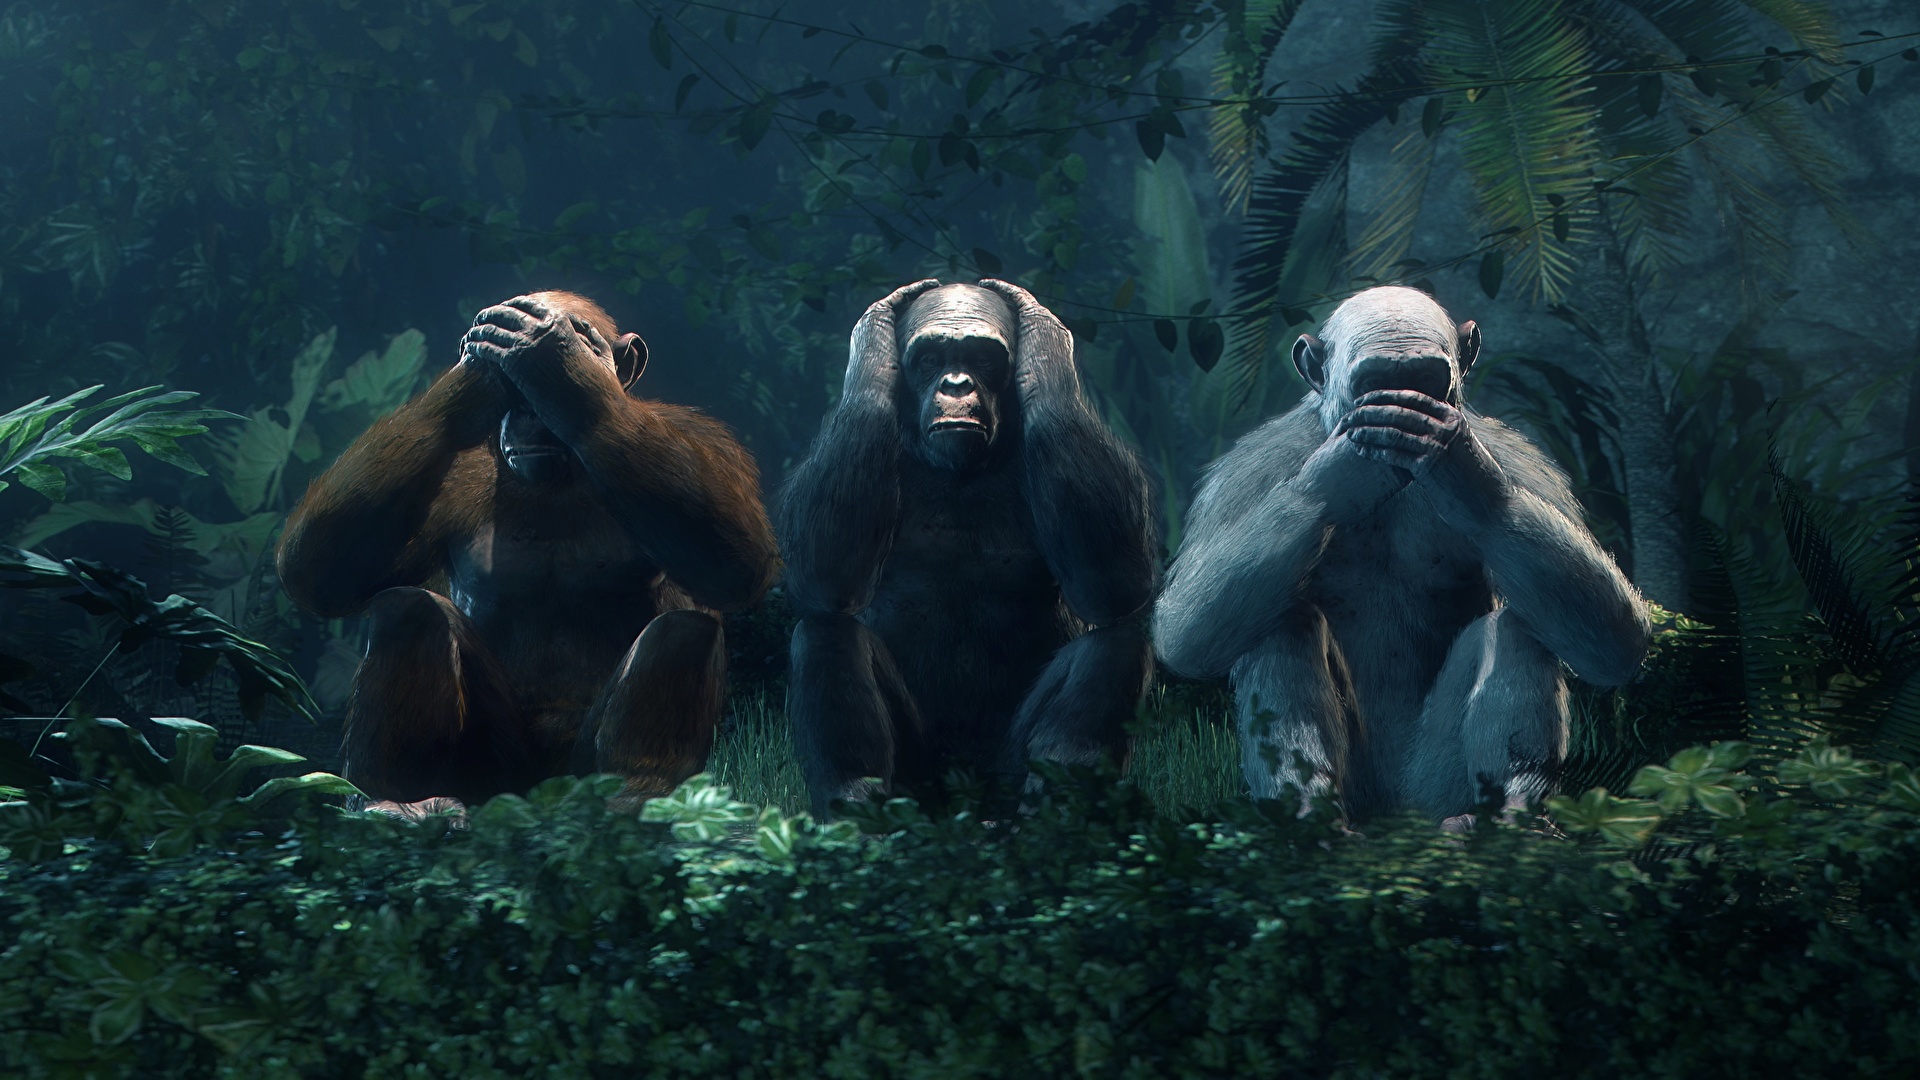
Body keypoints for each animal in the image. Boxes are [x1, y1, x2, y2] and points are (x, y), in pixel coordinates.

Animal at [276, 291, 779, 808]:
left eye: (533, 394)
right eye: (511, 395)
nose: (528, 416)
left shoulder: (706, 440)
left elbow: (737, 561)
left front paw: (558, 361)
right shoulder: (450, 474)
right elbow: (320, 574)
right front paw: (476, 373)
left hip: (573, 776)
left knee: (683, 630)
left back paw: (639, 790)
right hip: (493, 778)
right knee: (406, 607)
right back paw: (401, 801)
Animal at [778, 279, 1160, 817]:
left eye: (982, 358)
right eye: (929, 359)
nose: (956, 385)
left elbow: (1115, 584)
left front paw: (1042, 335)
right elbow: (824, 577)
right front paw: (874, 335)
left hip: (1002, 783)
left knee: (1118, 636)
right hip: (923, 789)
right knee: (825, 628)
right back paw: (857, 806)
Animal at [1153, 286, 1649, 827]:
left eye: (1425, 379)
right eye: (1375, 382)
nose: (1402, 410)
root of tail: (1396, 818)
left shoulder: (1526, 469)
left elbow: (1615, 643)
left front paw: (1458, 468)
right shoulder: (1246, 472)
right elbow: (1186, 631)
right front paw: (1339, 473)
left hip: (1435, 787)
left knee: (1523, 623)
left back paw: (1509, 812)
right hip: (1366, 792)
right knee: (1280, 622)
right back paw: (1310, 812)